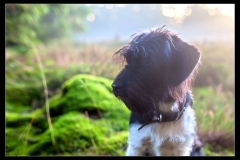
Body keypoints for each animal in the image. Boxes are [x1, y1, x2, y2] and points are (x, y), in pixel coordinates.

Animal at [111, 26, 203, 155]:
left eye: (148, 61)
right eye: (128, 60)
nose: (115, 86)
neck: (160, 117)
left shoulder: (181, 148)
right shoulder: (136, 144)